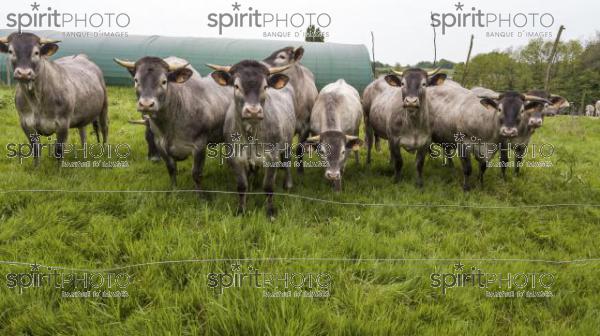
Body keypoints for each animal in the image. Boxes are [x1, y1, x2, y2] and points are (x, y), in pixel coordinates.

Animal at [0, 31, 108, 165]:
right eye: (10, 51)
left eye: (36, 52)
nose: (24, 73)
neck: (36, 101)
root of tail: (81, 56)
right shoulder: (26, 123)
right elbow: (36, 150)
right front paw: (36, 167)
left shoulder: (63, 123)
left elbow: (59, 150)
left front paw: (59, 169)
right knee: (83, 133)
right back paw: (84, 156)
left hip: (104, 107)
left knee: (104, 129)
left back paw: (104, 151)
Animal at [115, 56, 232, 193]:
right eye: (136, 80)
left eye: (164, 81)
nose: (146, 104)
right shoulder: (161, 145)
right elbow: (171, 170)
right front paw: (174, 191)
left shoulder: (199, 146)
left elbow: (196, 174)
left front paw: (202, 196)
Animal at [207, 60, 296, 219]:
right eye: (236, 86)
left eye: (265, 86)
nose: (253, 111)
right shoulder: (235, 157)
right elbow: (242, 186)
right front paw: (241, 209)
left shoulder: (272, 157)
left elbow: (268, 186)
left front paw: (270, 212)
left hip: (287, 143)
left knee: (286, 162)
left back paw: (288, 184)